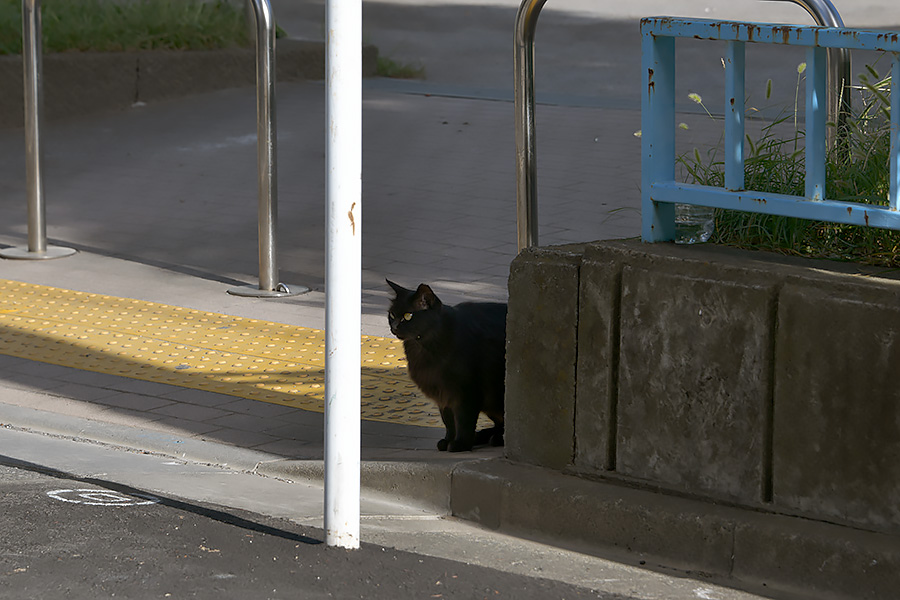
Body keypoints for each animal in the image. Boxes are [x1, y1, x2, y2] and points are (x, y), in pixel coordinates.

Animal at [384, 278, 506, 452]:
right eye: (392, 314)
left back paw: (495, 438)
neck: (423, 347)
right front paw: (448, 440)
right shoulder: (442, 393)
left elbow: (463, 421)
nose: (393, 327)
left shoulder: (466, 392)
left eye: (408, 316)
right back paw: (482, 436)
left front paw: (460, 443)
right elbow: (448, 421)